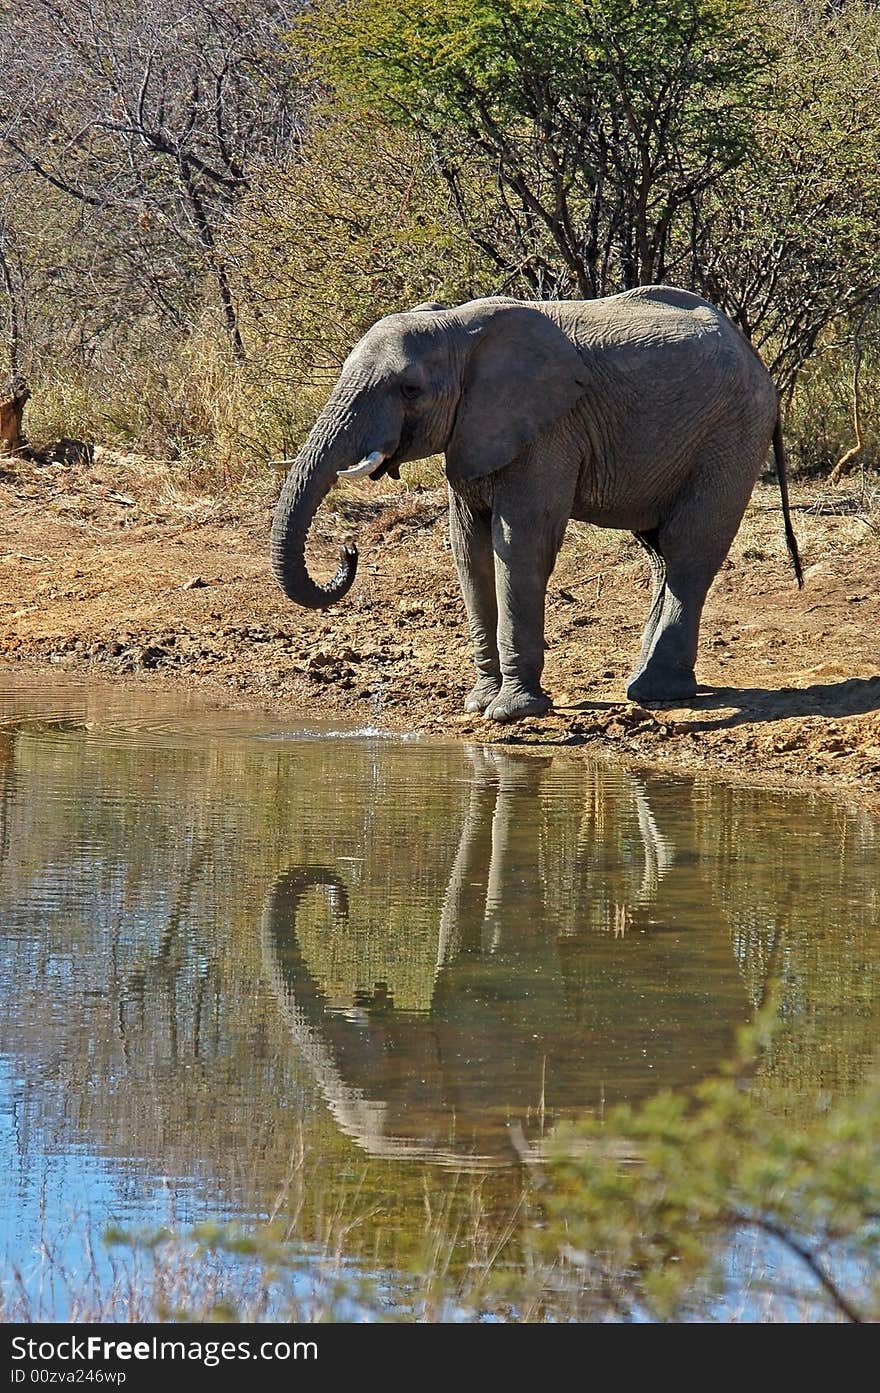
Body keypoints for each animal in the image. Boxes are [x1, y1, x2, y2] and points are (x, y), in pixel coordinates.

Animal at [270, 281, 802, 718]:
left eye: (410, 389)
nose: (349, 549)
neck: (458, 329)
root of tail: (754, 357)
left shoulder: (548, 429)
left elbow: (520, 544)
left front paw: (511, 712)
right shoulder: (474, 431)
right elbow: (469, 548)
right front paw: (479, 703)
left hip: (731, 434)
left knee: (689, 548)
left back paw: (657, 692)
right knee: (660, 553)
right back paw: (646, 688)